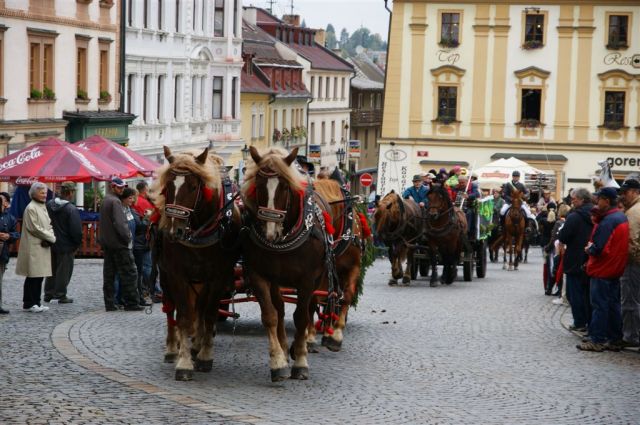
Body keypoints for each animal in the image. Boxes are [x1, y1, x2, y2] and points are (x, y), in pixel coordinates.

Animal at [152, 147, 240, 380]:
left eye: (193, 187)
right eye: (168, 186)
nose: (174, 231)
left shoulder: (218, 277)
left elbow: (208, 314)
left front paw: (204, 355)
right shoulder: (177, 275)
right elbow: (183, 316)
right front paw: (184, 363)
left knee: (199, 309)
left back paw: (197, 344)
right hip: (165, 276)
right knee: (170, 309)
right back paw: (172, 348)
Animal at [239, 147, 330, 380]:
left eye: (285, 187)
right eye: (258, 185)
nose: (271, 232)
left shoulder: (307, 280)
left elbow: (301, 317)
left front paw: (300, 360)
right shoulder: (259, 275)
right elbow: (270, 315)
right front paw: (278, 361)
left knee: (308, 309)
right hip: (276, 280)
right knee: (279, 308)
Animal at [310, 172, 370, 352]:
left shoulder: (353, 267)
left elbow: (347, 296)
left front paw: (336, 335)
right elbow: (313, 298)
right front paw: (309, 335)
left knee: (334, 297)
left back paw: (328, 331)